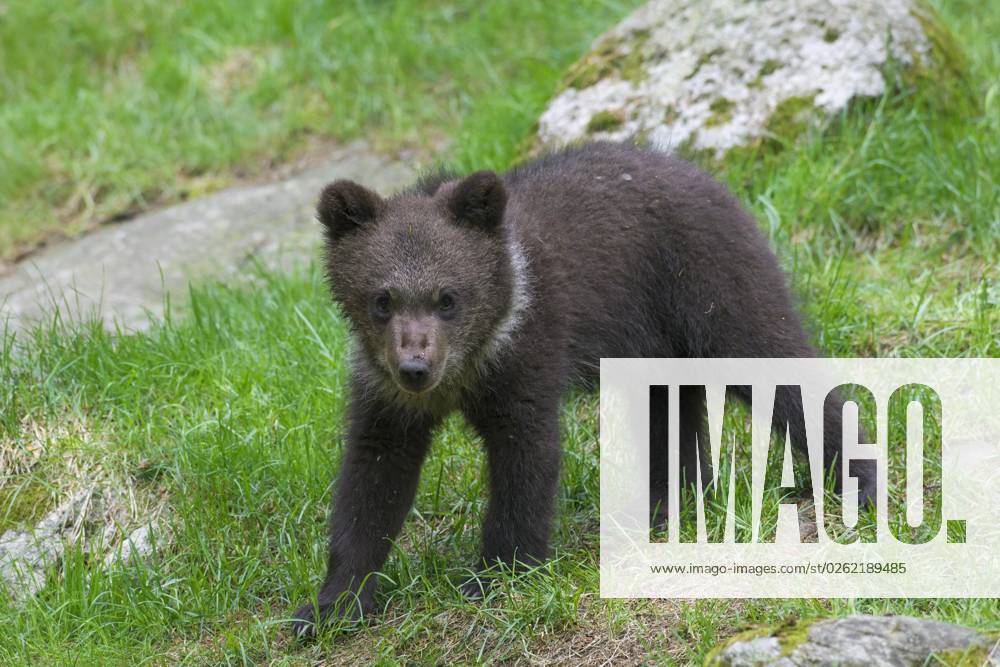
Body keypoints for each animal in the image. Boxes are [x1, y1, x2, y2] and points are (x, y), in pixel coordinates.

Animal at [290, 141, 876, 635]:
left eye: (448, 297)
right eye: (382, 298)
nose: (415, 366)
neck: (471, 364)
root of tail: (707, 177)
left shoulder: (527, 353)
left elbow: (525, 459)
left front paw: (498, 573)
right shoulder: (384, 396)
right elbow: (372, 481)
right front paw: (330, 606)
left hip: (706, 287)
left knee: (774, 365)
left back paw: (856, 482)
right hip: (651, 342)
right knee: (670, 410)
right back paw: (669, 502)